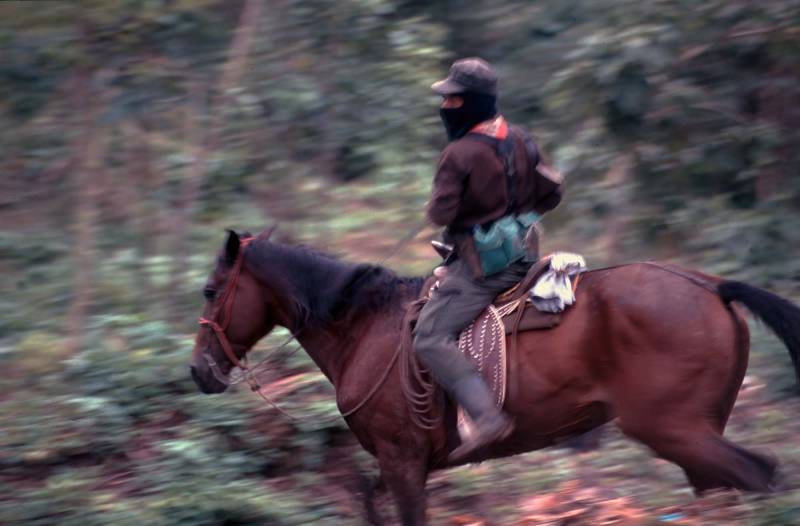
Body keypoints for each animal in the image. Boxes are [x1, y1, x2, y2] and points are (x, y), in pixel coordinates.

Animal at [191, 232, 800, 526]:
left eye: (210, 290)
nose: (199, 371)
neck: (365, 327)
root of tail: (712, 287)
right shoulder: (402, 462)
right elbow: (369, 503)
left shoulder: (402, 458)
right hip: (696, 435)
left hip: (674, 429)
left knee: (758, 475)